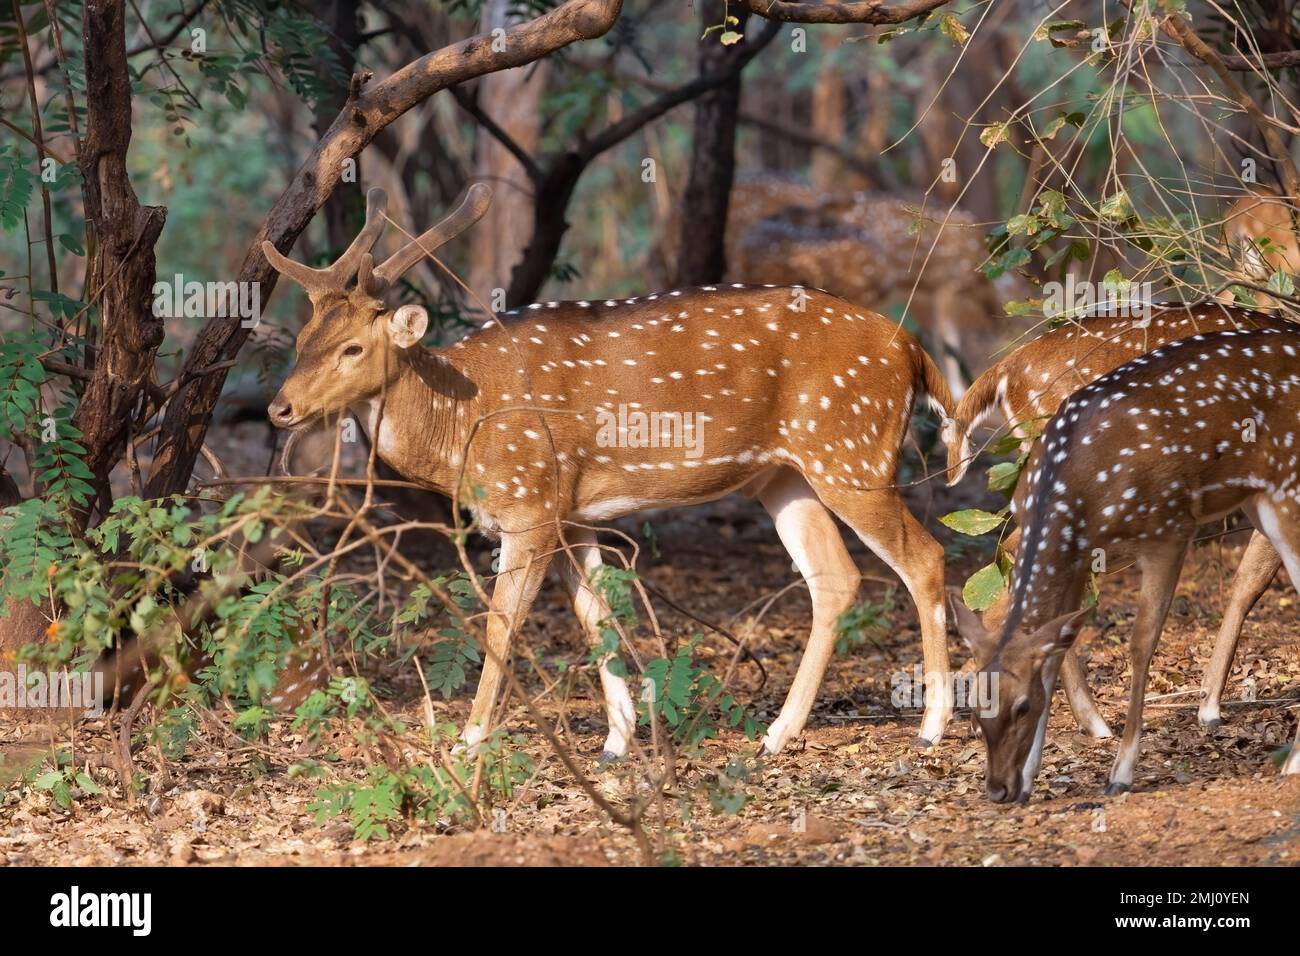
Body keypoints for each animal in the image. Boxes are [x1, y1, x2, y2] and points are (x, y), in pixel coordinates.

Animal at [258, 183, 961, 759]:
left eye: (352, 348)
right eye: (302, 341)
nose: (278, 408)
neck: (465, 425)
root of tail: (911, 349)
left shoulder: (530, 501)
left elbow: (501, 623)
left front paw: (469, 739)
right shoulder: (572, 514)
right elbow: (595, 618)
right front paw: (618, 742)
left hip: (851, 451)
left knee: (925, 557)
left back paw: (931, 727)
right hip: (786, 475)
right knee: (835, 578)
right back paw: (776, 734)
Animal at [951, 327, 1300, 801]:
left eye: (1022, 707)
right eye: (974, 708)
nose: (998, 789)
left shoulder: (1170, 529)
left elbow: (1141, 643)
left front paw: (1121, 772)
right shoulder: (1081, 553)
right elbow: (1054, 650)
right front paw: (1031, 776)